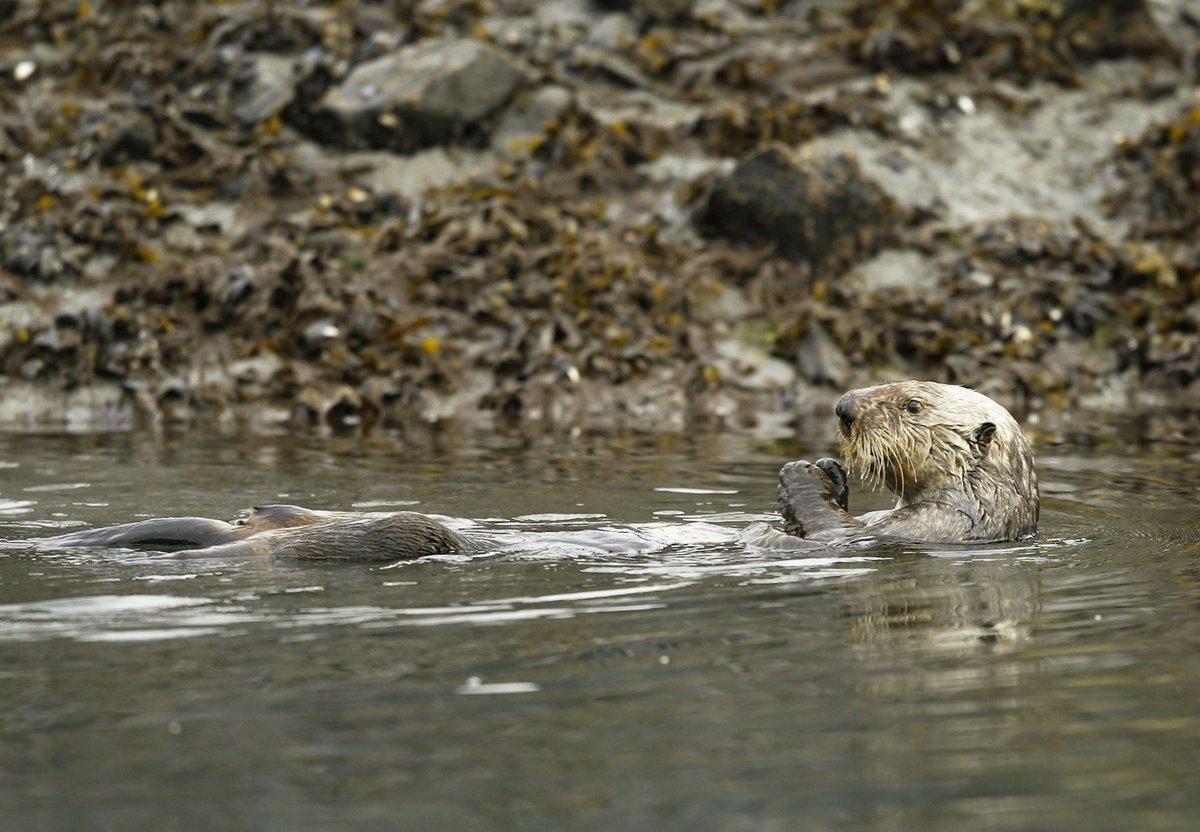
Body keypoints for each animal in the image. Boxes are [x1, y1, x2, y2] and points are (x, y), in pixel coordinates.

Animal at [777, 381, 1038, 545]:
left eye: (913, 405)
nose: (843, 407)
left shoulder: (935, 520)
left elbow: (835, 530)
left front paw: (801, 475)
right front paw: (831, 470)